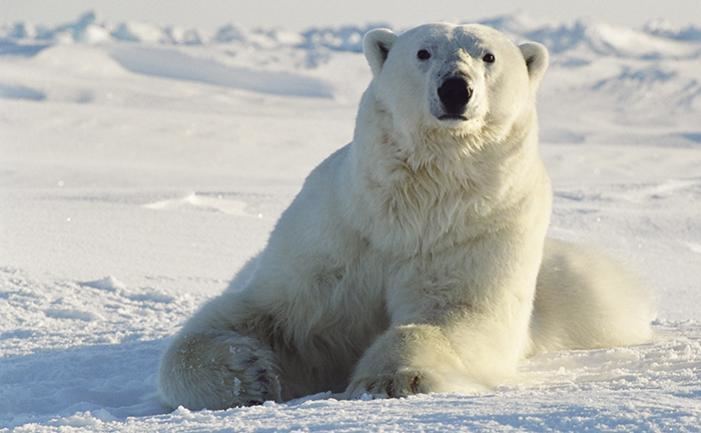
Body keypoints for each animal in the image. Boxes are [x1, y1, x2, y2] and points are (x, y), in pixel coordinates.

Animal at [156, 23, 652, 408]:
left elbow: (456, 315)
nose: (455, 88)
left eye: (489, 55)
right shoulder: (333, 242)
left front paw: (389, 378)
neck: (408, 212)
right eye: (422, 51)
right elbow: (266, 316)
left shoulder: (478, 231)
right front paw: (247, 375)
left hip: (577, 289)